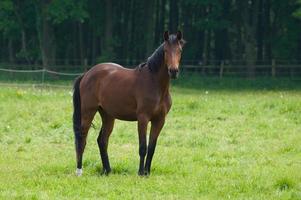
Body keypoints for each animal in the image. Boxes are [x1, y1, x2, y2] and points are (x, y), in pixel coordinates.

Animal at [73, 30, 185, 176]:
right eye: (165, 50)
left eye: (180, 50)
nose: (173, 71)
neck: (155, 84)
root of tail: (86, 74)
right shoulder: (143, 118)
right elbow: (143, 147)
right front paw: (141, 172)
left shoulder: (159, 120)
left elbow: (152, 147)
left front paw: (147, 172)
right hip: (88, 112)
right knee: (82, 138)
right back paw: (79, 171)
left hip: (108, 116)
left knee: (102, 140)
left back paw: (107, 170)